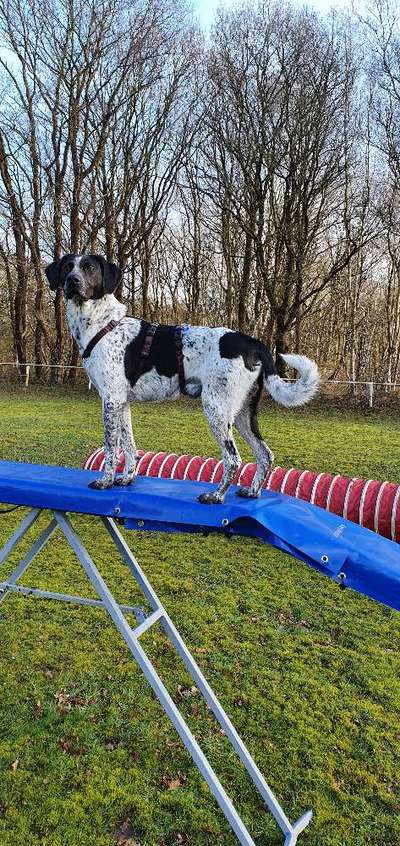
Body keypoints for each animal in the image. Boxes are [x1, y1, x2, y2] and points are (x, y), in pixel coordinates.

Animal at [44, 252, 318, 504]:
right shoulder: (122, 403)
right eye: (68, 267)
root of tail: (253, 343)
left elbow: (112, 448)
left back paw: (216, 496)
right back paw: (252, 492)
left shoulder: (110, 400)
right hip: (242, 414)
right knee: (264, 454)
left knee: (233, 458)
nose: (72, 281)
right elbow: (129, 445)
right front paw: (127, 478)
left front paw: (105, 481)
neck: (102, 323)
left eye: (89, 268)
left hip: (216, 409)